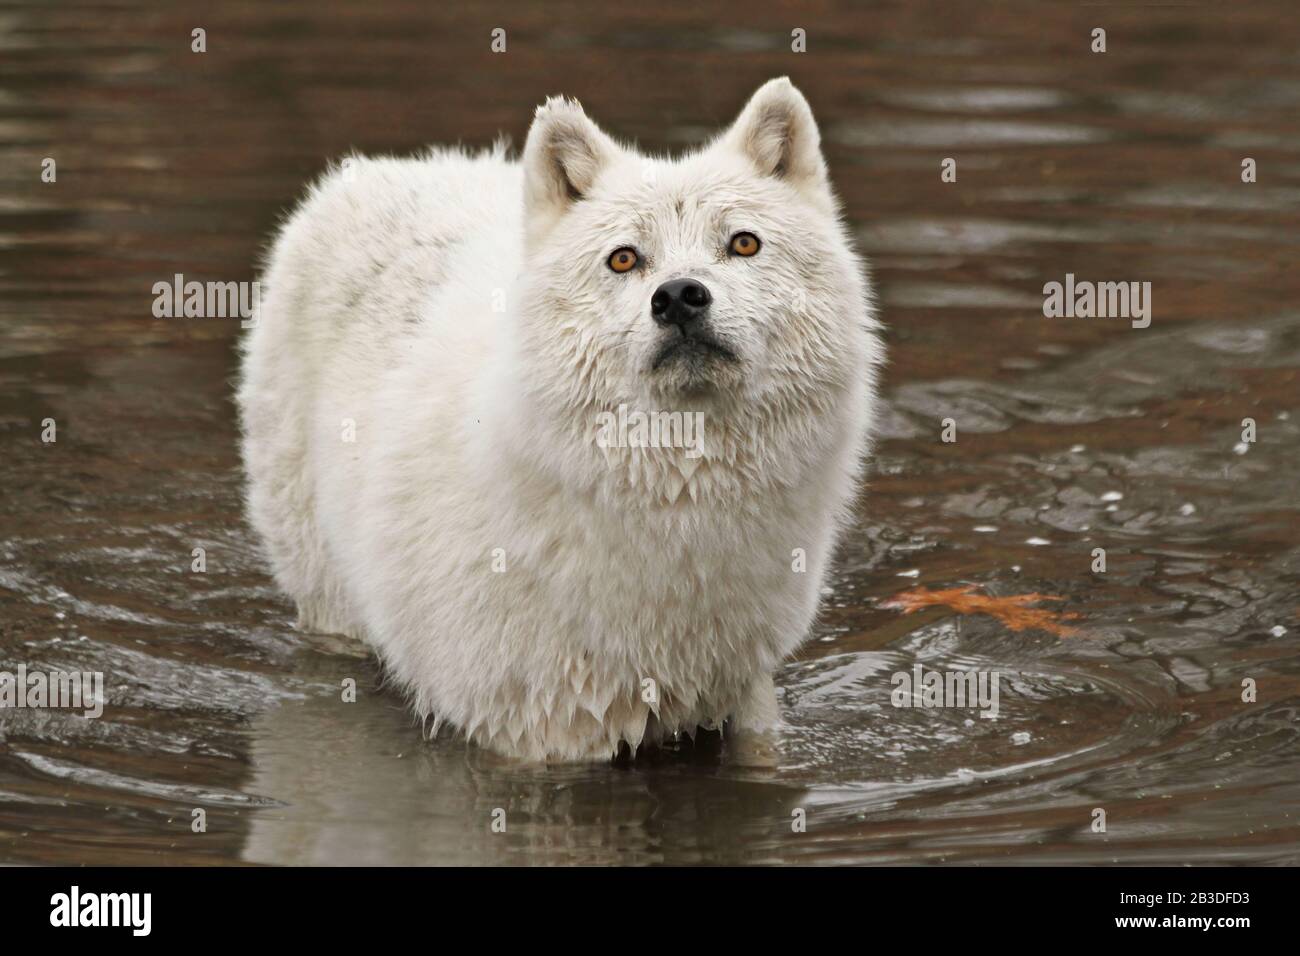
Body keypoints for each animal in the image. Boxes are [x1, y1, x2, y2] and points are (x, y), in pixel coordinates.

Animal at [236, 78, 883, 764]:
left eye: (743, 243)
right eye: (624, 259)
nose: (679, 296)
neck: (680, 511)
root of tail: (387, 168)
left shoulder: (747, 694)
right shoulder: (541, 731)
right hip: (329, 598)